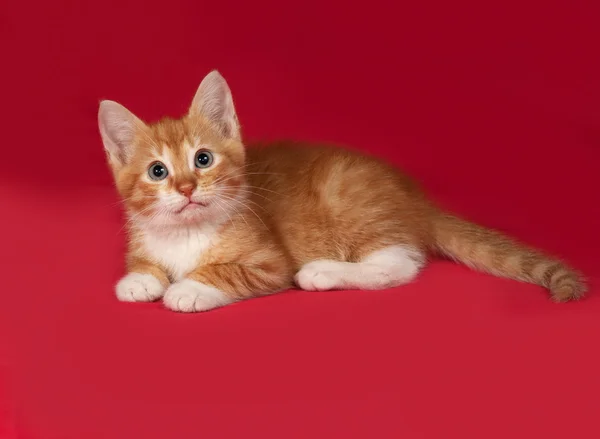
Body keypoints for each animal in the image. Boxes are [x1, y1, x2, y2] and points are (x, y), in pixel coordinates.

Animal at [97, 69, 584, 312]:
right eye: (157, 171)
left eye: (202, 159)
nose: (184, 188)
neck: (187, 234)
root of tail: (416, 199)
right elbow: (144, 264)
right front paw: (140, 280)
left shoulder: (268, 262)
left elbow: (228, 272)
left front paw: (189, 289)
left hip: (349, 201)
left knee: (399, 264)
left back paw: (324, 272)